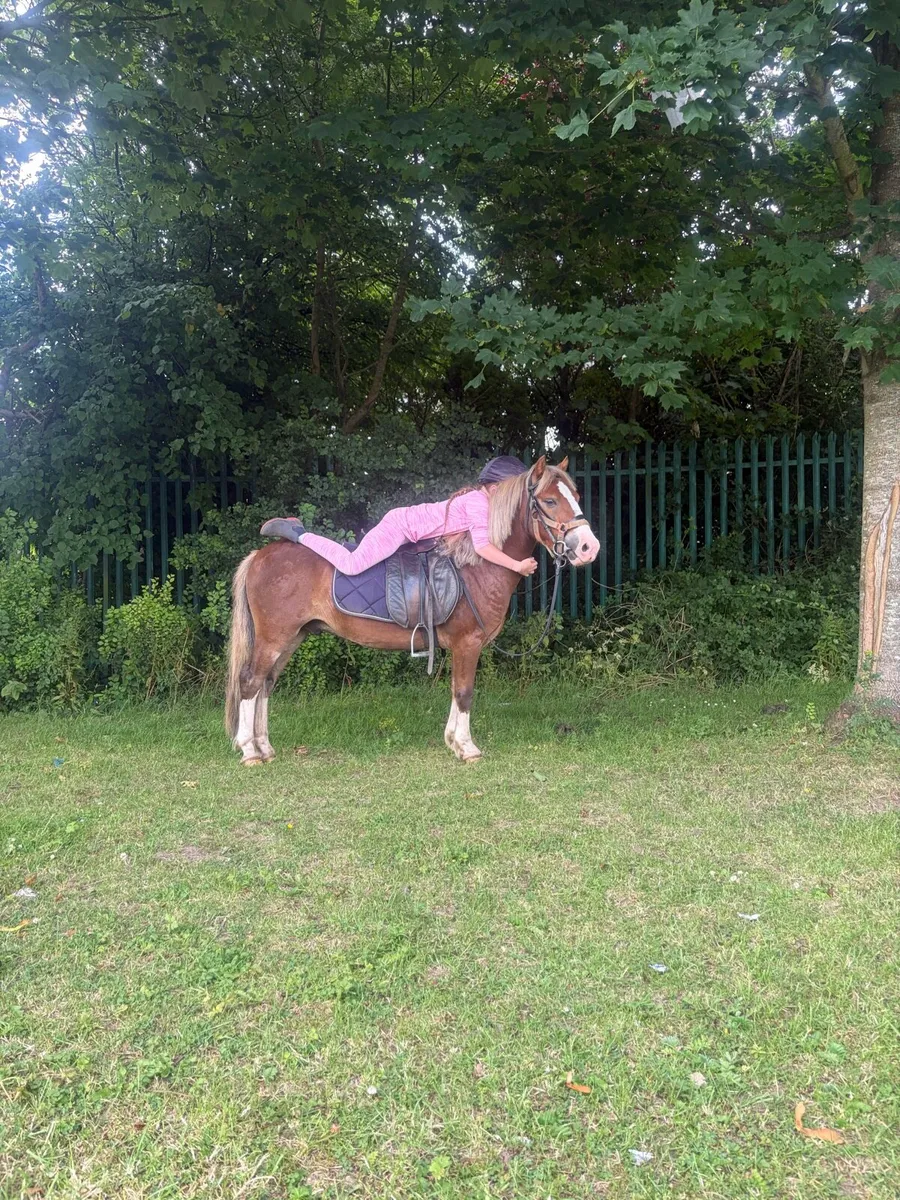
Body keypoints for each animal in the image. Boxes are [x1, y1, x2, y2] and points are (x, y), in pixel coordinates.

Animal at [225, 456, 600, 764]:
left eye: (576, 496)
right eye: (549, 500)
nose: (588, 547)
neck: (475, 568)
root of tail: (259, 556)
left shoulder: (461, 647)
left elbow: (456, 691)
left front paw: (452, 741)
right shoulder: (468, 643)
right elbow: (464, 692)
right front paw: (467, 747)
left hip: (292, 638)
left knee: (266, 684)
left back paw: (265, 747)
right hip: (274, 638)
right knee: (250, 681)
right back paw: (249, 750)